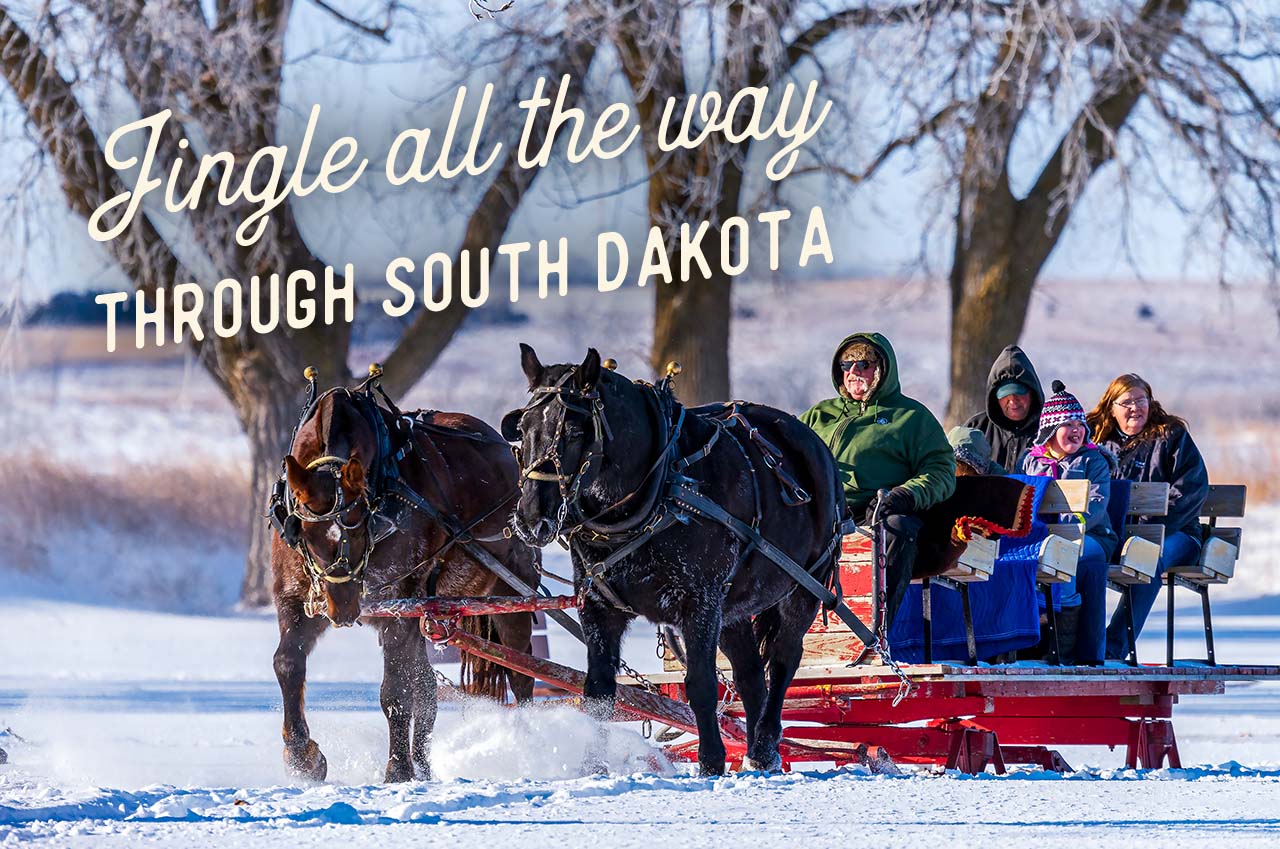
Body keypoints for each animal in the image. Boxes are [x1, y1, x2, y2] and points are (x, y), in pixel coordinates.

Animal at [267, 376, 537, 788]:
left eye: (363, 524)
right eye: (305, 532)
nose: (343, 609)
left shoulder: (399, 605)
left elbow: (395, 692)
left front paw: (397, 769)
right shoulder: (296, 599)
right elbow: (287, 663)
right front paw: (302, 757)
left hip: (509, 590)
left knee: (521, 671)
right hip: (427, 612)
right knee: (425, 687)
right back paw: (425, 766)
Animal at [504, 348, 844, 778]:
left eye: (575, 431)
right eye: (523, 428)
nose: (531, 519)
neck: (658, 489)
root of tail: (811, 440)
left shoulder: (699, 603)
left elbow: (700, 684)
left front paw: (711, 762)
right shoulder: (598, 607)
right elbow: (598, 692)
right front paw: (592, 768)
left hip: (803, 587)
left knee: (783, 659)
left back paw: (765, 745)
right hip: (733, 607)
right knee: (751, 675)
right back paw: (756, 754)